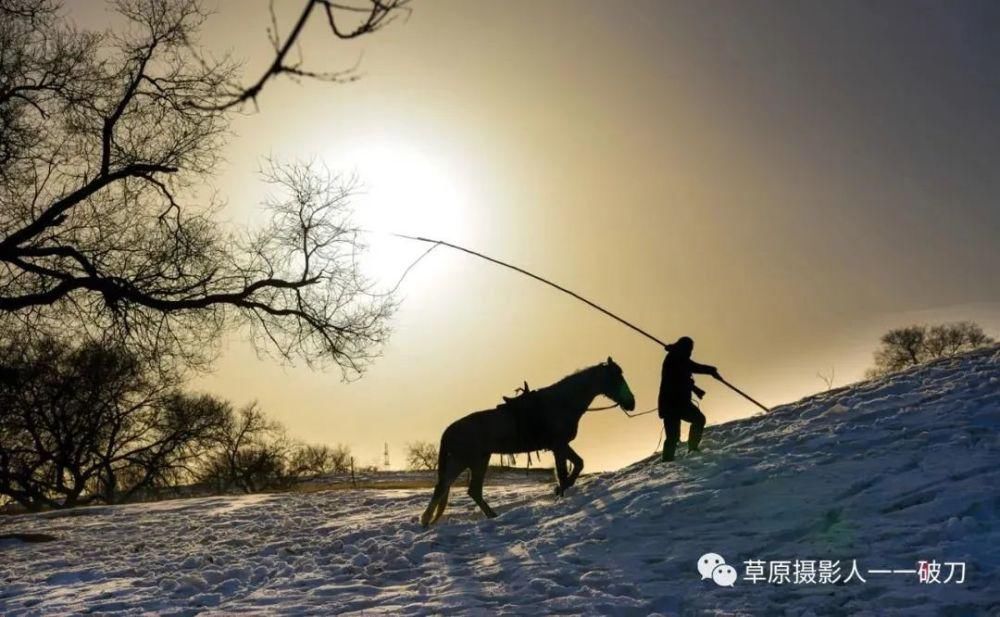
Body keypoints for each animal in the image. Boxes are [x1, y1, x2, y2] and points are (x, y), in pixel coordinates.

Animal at [418, 356, 636, 524]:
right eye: (616, 377)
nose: (631, 403)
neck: (562, 402)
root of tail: (449, 429)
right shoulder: (558, 445)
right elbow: (564, 472)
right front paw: (560, 492)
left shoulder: (561, 445)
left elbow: (578, 464)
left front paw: (561, 488)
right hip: (464, 460)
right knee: (445, 487)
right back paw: (427, 520)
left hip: (477, 460)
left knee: (471, 490)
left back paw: (491, 516)